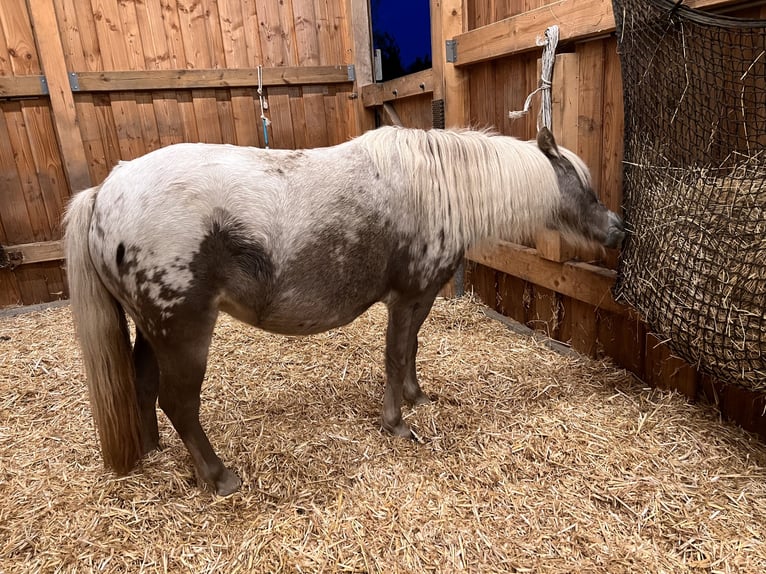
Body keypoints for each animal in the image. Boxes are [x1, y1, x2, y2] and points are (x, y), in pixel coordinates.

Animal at [64, 125, 625, 495]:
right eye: (584, 186)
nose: (617, 229)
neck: (438, 187)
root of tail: (106, 192)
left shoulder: (417, 299)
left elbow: (411, 349)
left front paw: (417, 398)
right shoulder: (409, 295)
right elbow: (396, 354)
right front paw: (396, 422)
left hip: (151, 330)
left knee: (142, 384)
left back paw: (154, 450)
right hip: (182, 333)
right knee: (178, 404)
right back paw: (219, 477)